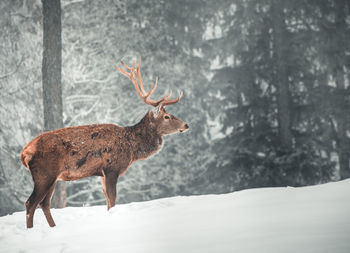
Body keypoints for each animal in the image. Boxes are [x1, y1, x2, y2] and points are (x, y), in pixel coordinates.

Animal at [20, 58, 189, 228]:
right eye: (167, 116)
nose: (186, 125)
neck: (131, 148)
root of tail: (25, 152)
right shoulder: (112, 168)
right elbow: (112, 200)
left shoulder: (101, 173)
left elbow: (107, 201)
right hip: (44, 173)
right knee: (31, 203)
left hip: (53, 177)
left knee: (44, 203)